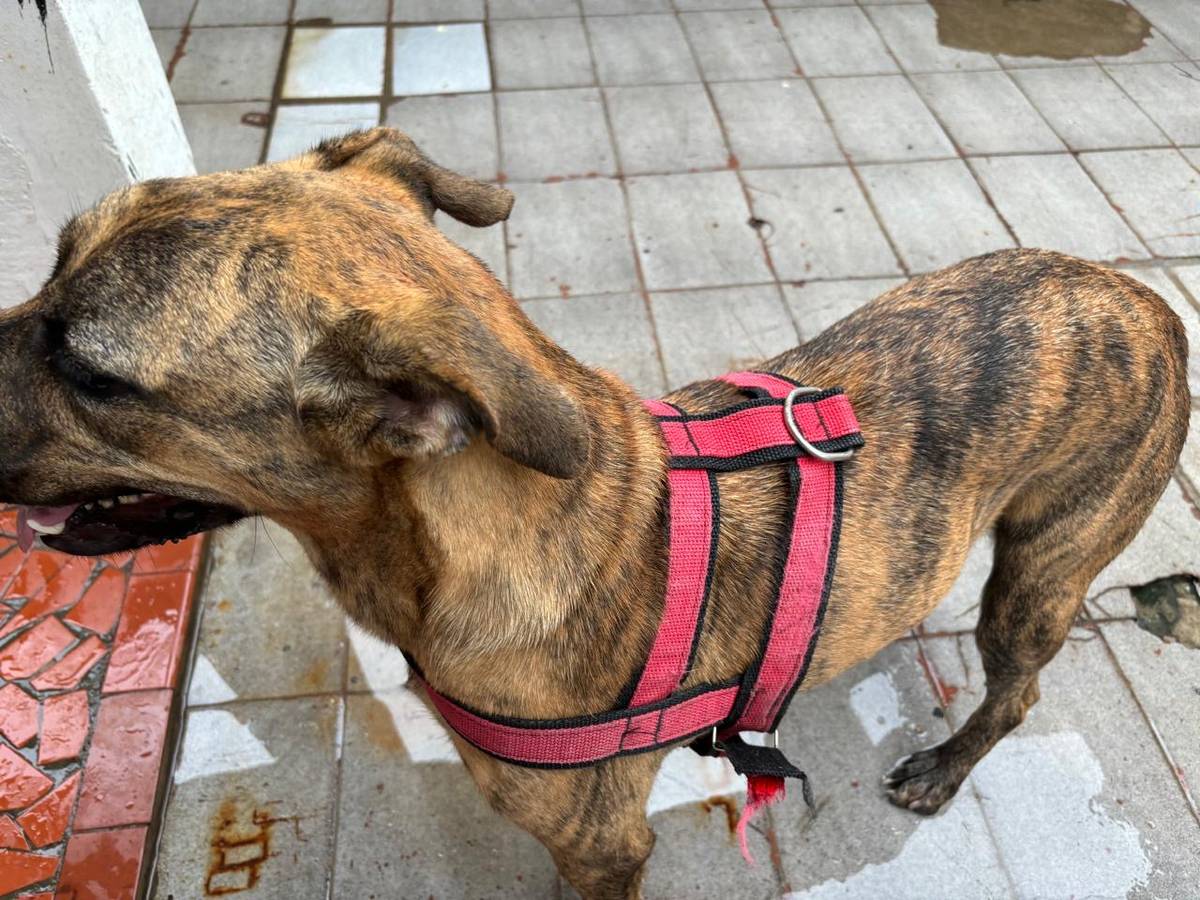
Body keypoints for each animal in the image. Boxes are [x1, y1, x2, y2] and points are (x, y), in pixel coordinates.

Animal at [0, 128, 1188, 899]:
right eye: (49, 260)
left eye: (94, 375)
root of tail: (1147, 300)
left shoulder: (601, 848)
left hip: (1044, 568)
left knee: (1020, 688)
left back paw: (947, 763)